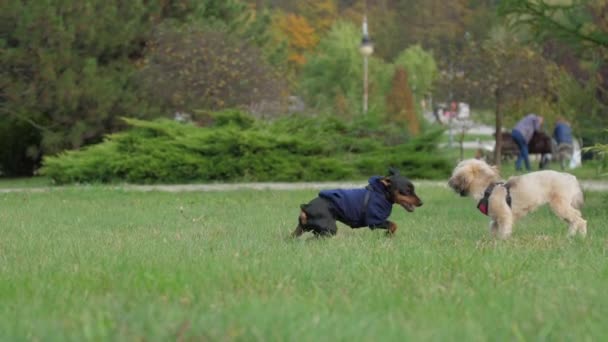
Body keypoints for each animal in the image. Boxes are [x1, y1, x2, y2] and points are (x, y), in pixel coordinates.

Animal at [292, 169, 420, 238]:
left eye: (413, 190)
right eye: (407, 191)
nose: (421, 202)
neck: (382, 193)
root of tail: (306, 207)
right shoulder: (375, 222)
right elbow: (393, 225)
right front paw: (388, 234)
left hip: (303, 229)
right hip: (328, 230)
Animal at [448, 160, 588, 238]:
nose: (449, 182)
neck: (488, 188)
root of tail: (570, 177)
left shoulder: (504, 217)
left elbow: (504, 232)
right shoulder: (495, 220)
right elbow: (493, 230)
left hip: (559, 206)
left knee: (580, 219)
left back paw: (581, 237)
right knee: (574, 220)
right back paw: (570, 236)